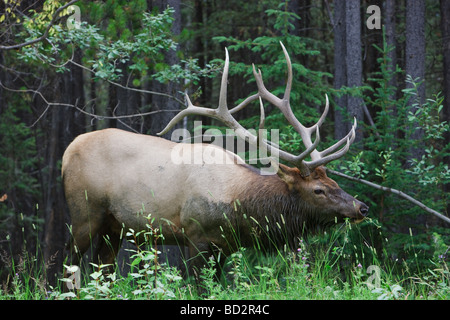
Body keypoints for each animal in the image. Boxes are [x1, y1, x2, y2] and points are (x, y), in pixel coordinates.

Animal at [61, 42, 368, 278]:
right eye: (318, 190)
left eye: (335, 183)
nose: (361, 207)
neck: (239, 206)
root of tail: (66, 153)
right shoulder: (195, 236)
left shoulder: (226, 246)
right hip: (84, 212)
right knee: (69, 262)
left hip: (114, 226)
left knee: (103, 269)